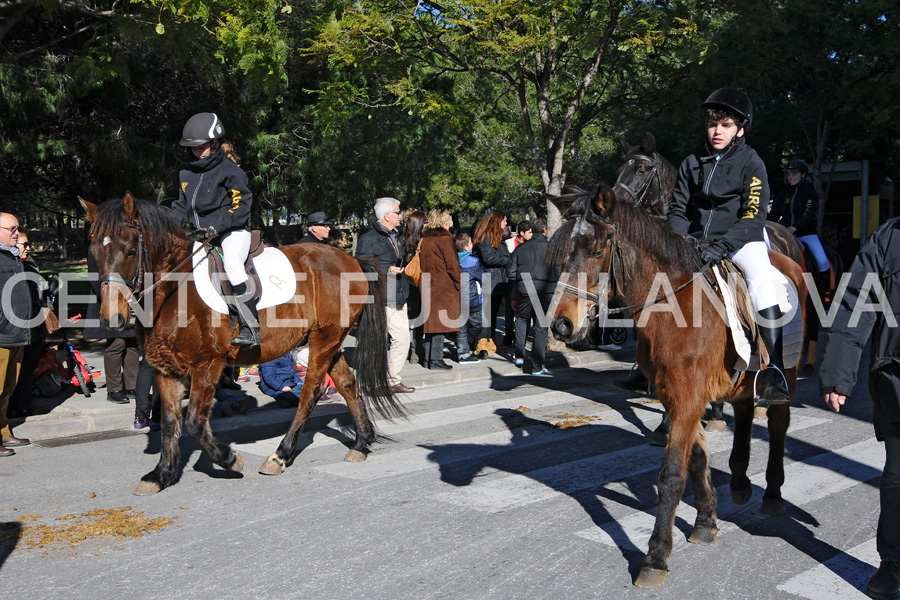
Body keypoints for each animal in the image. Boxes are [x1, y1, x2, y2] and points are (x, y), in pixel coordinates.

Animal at [81, 195, 404, 494]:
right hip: (330, 340)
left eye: (130, 251)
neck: (174, 291)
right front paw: (161, 475)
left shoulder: (207, 364)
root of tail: (350, 260)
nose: (112, 318)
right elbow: (171, 422)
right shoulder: (165, 368)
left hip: (324, 339)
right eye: (94, 251)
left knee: (310, 391)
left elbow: (194, 422)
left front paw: (228, 458)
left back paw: (281, 454)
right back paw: (361, 443)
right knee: (347, 383)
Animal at [544, 185, 804, 588]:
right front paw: (706, 521)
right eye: (564, 252)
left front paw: (656, 556)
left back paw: (772, 490)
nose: (561, 325)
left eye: (597, 249)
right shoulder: (675, 397)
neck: (672, 308)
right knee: (745, 412)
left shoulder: (688, 398)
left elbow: (670, 475)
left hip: (786, 373)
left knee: (777, 424)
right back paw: (740, 480)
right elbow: (695, 461)